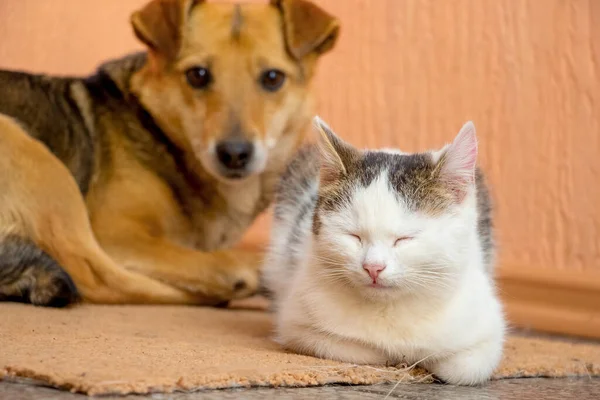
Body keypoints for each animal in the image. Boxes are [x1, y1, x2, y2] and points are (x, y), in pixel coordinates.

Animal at [0, 0, 338, 306]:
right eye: (198, 75)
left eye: (272, 78)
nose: (234, 154)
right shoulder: (117, 233)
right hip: (40, 163)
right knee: (98, 278)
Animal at [264, 115, 504, 384]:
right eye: (354, 236)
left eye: (404, 239)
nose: (373, 267)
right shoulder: (297, 325)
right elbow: (363, 349)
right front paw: (398, 358)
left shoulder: (488, 332)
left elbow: (463, 368)